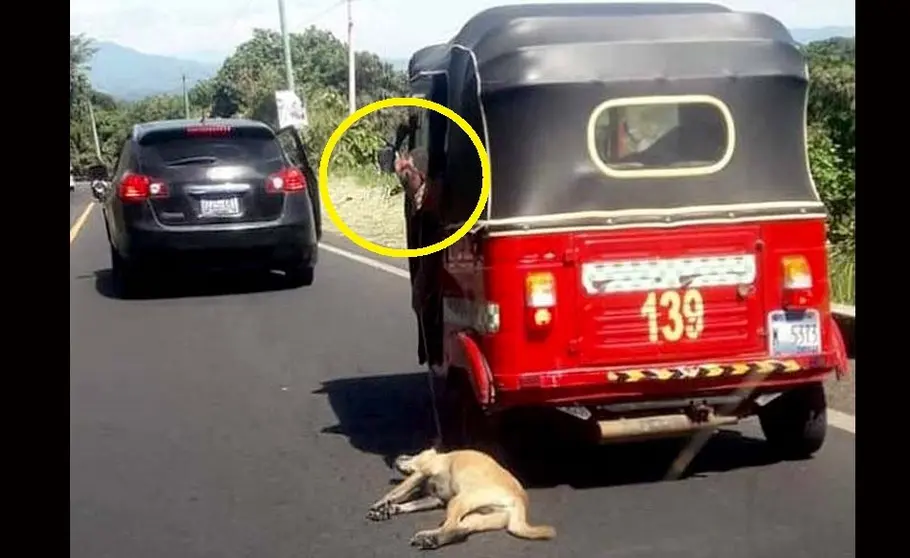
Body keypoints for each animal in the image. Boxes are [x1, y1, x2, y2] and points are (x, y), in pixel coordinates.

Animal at [366, 450, 556, 552]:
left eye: (415, 453)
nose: (396, 457)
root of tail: (520, 501)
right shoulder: (435, 499)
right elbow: (407, 502)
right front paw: (389, 509)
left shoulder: (421, 473)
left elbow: (395, 492)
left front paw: (380, 505)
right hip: (477, 517)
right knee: (459, 530)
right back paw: (431, 539)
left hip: (459, 501)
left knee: (450, 526)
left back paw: (429, 538)